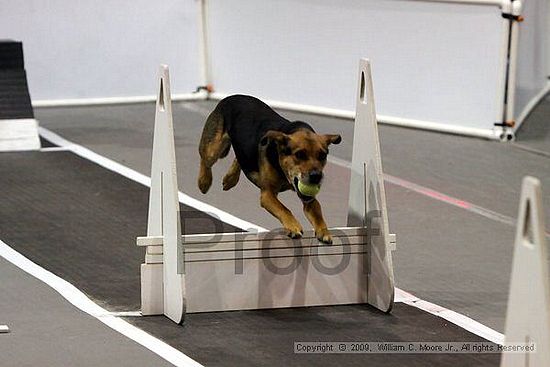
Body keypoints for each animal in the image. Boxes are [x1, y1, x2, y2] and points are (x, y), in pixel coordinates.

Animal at [198, 95, 342, 244]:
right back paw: (204, 182)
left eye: (323, 155)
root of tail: (231, 97)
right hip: (214, 148)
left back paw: (230, 179)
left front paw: (324, 231)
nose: (316, 176)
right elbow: (284, 209)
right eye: (299, 155)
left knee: (239, 158)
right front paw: (293, 226)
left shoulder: (308, 198)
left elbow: (317, 210)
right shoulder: (267, 195)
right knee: (205, 159)